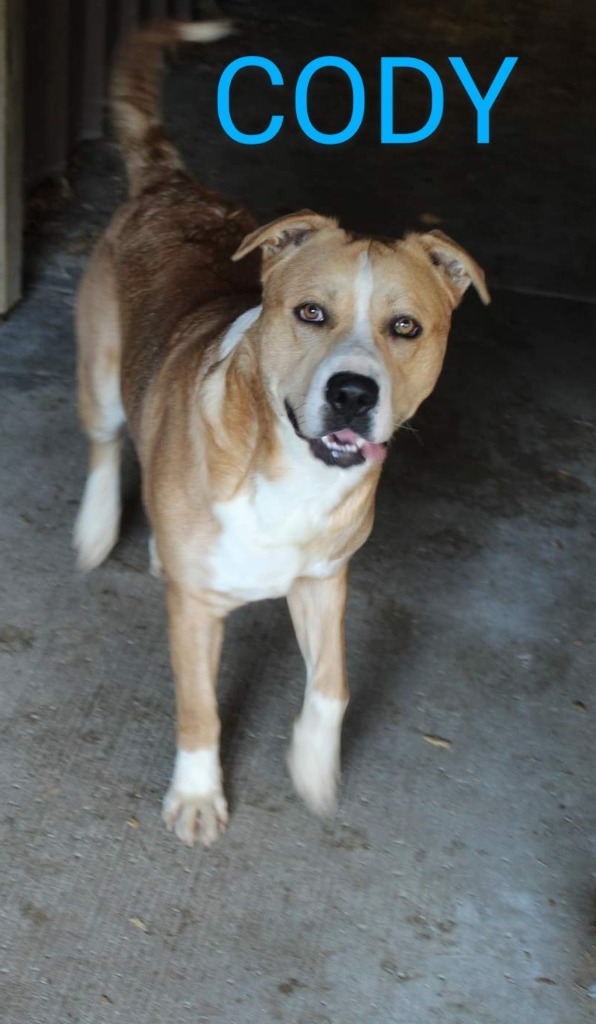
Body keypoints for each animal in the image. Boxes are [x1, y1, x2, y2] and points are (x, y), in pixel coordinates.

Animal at [73, 18, 491, 847]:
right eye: (310, 313)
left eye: (406, 327)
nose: (353, 393)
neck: (292, 472)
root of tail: (171, 185)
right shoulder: (198, 616)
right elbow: (199, 707)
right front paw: (198, 794)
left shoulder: (325, 582)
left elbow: (332, 684)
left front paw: (312, 766)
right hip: (101, 377)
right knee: (106, 443)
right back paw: (98, 528)